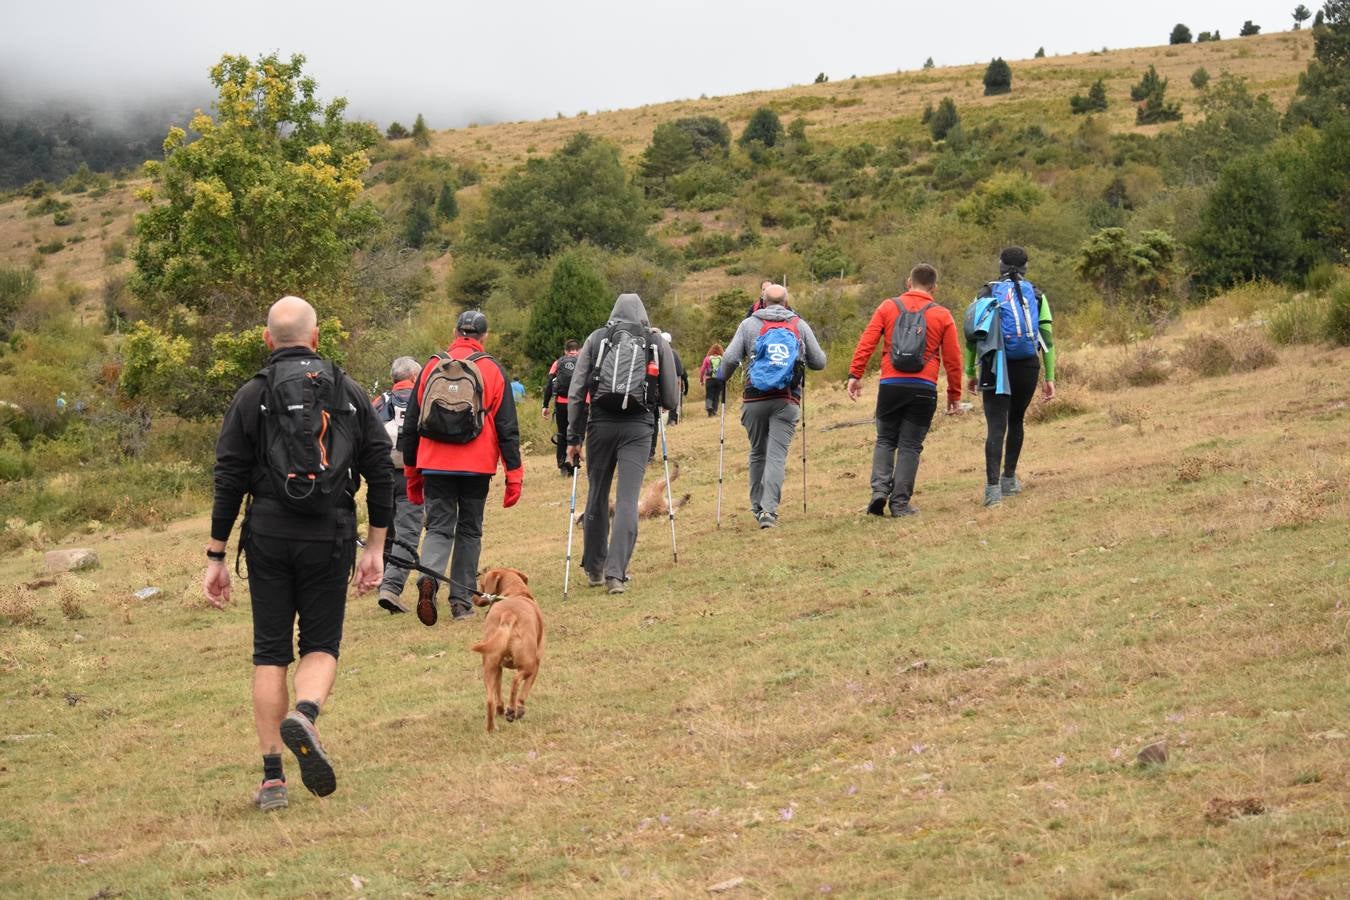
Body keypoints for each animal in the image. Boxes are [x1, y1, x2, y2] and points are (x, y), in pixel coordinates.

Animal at [469, 569, 542, 734]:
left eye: (481, 583)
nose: (472, 597)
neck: (515, 592)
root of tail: (509, 615)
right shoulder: (536, 665)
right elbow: (524, 692)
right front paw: (518, 709)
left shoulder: (499, 668)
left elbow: (498, 692)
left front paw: (501, 710)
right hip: (529, 664)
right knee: (515, 682)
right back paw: (512, 711)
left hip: (490, 666)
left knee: (490, 700)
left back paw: (492, 728)